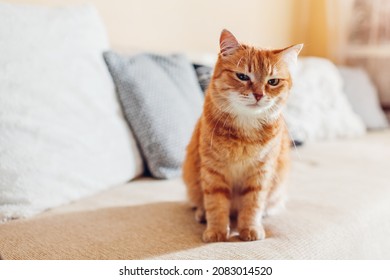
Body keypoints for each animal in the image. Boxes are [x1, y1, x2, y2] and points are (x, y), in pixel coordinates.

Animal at [181, 29, 304, 243]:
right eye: (242, 76)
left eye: (272, 81)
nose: (258, 94)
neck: (245, 134)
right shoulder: (213, 171)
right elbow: (216, 204)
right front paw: (217, 231)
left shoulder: (261, 173)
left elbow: (253, 205)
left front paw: (250, 229)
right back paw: (202, 214)